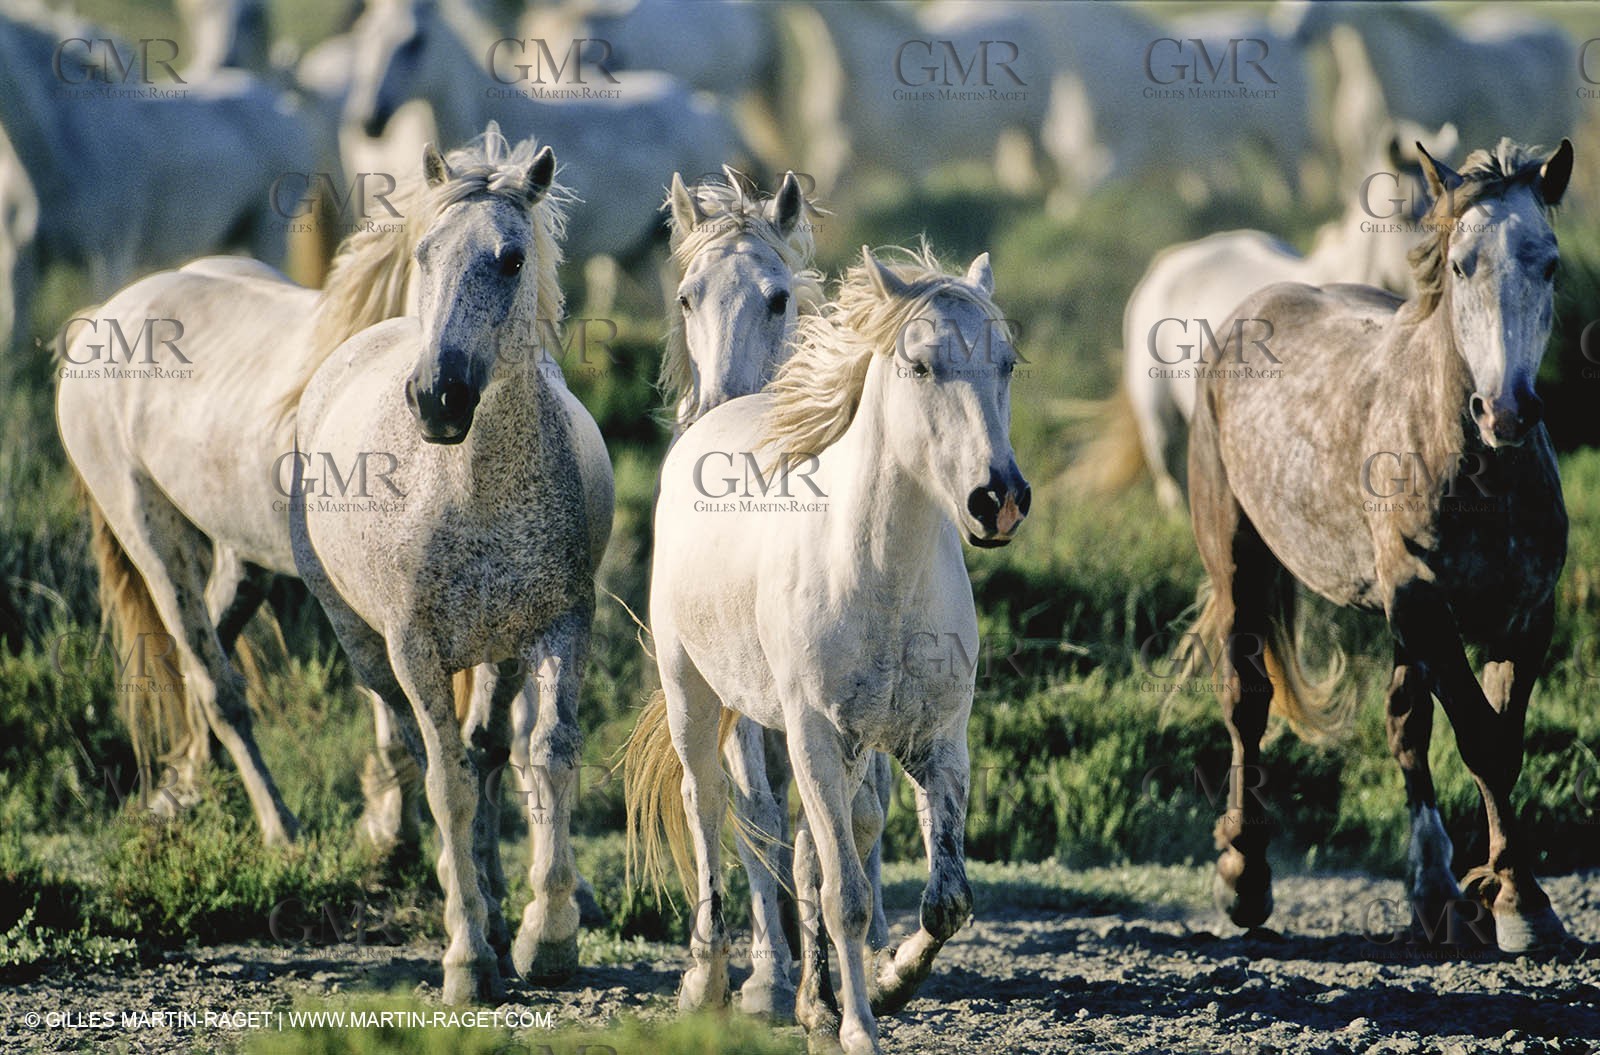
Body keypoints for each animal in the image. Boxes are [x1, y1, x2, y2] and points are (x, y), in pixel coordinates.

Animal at [289, 133, 600, 1001]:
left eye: (511, 258)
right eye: (426, 253)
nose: (439, 398)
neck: (473, 491)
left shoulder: (560, 626)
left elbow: (546, 756)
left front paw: (545, 935)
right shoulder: (415, 646)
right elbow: (447, 784)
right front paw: (467, 957)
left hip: (497, 652)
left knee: (489, 750)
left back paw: (496, 903)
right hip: (369, 648)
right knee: (413, 743)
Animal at [627, 245, 1030, 1053]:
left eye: (1005, 362)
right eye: (920, 366)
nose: (998, 499)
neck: (882, 576)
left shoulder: (939, 742)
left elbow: (945, 898)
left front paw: (890, 981)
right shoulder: (814, 735)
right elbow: (844, 892)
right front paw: (859, 1029)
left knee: (818, 844)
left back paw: (812, 999)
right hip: (695, 697)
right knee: (708, 808)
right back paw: (708, 983)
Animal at [1186, 138, 1573, 954]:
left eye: (1549, 263)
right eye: (1460, 265)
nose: (1506, 410)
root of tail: (1251, 309)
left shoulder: (1522, 615)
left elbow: (1498, 741)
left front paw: (1503, 893)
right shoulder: (1424, 602)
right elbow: (1482, 741)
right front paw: (1520, 901)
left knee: (1405, 727)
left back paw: (1433, 893)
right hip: (1239, 561)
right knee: (1246, 703)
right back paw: (1245, 877)